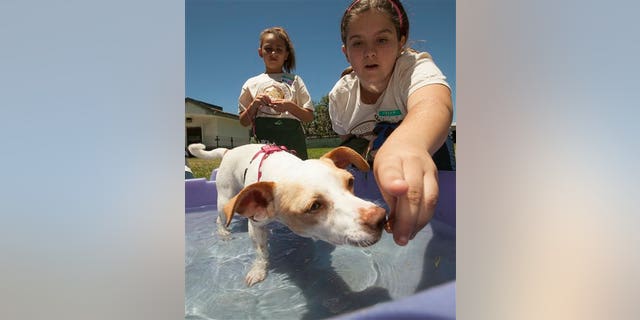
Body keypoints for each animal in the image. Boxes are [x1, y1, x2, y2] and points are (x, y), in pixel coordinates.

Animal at [185, 144, 384, 286]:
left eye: (350, 182)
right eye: (314, 206)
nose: (381, 218)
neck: (282, 168)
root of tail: (229, 150)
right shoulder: (255, 225)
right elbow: (261, 252)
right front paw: (259, 270)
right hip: (225, 198)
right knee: (220, 219)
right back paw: (223, 233)